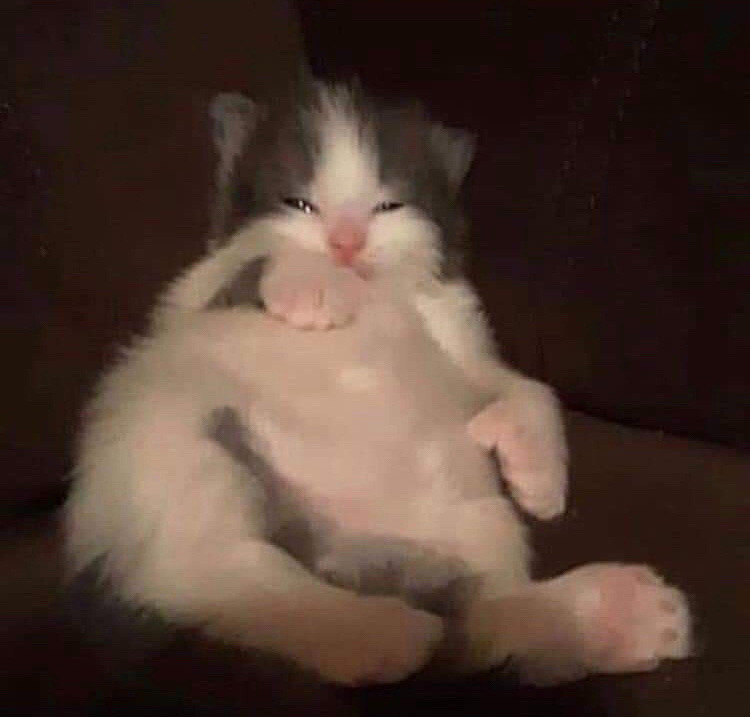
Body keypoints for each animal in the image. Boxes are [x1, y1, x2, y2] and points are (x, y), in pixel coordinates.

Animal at [64, 81, 692, 684]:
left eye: (388, 205)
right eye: (299, 203)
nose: (345, 245)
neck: (374, 292)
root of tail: (339, 553)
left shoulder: (455, 336)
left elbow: (523, 388)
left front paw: (537, 475)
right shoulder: (194, 298)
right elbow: (254, 258)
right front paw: (311, 283)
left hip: (473, 526)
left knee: (479, 619)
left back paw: (608, 619)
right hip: (183, 453)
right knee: (230, 577)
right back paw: (372, 632)